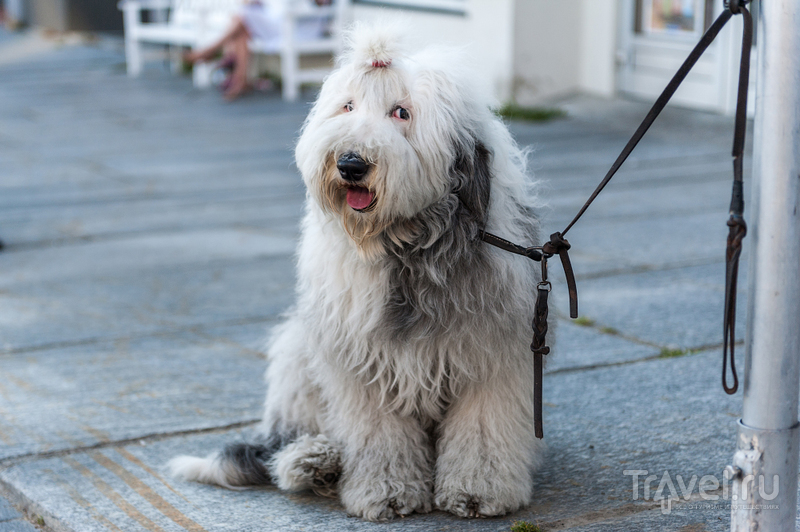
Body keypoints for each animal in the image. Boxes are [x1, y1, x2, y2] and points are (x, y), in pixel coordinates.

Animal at [169, 23, 548, 520]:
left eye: (401, 112)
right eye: (347, 106)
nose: (350, 164)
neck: (407, 249)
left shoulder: (490, 357)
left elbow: (483, 427)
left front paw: (477, 490)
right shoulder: (364, 366)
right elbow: (378, 435)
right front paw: (386, 492)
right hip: (299, 352)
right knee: (284, 448)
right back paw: (314, 462)